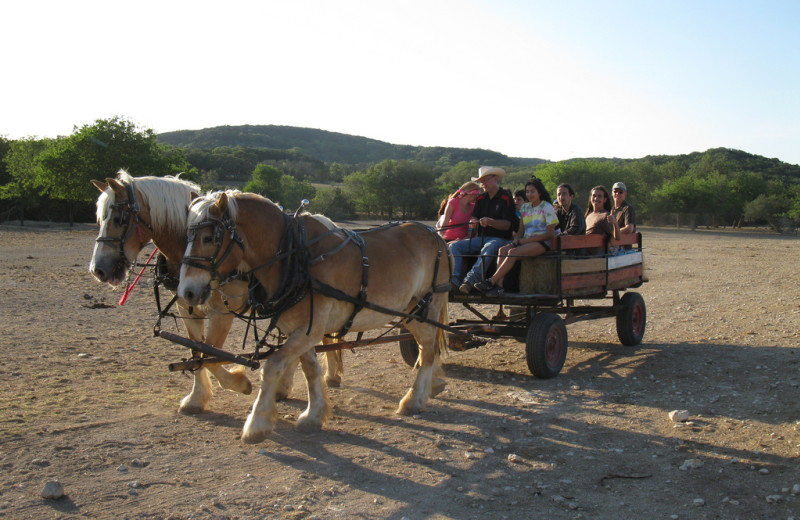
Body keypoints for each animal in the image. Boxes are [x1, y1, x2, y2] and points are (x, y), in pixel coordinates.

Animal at [88, 172, 253, 414]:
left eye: (119, 219)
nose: (97, 269)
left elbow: (211, 353)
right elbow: (197, 351)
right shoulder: (186, 307)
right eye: (100, 219)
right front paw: (196, 398)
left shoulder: (223, 312)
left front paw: (240, 382)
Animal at [178, 191, 450, 442]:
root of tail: (435, 235)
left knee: (427, 349)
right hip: (410, 313)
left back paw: (413, 400)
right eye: (186, 237)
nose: (186, 292)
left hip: (428, 307)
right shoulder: (301, 330)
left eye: (209, 238)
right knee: (426, 346)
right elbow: (310, 369)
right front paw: (314, 414)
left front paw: (257, 423)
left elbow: (273, 366)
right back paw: (433, 385)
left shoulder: (311, 328)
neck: (297, 258)